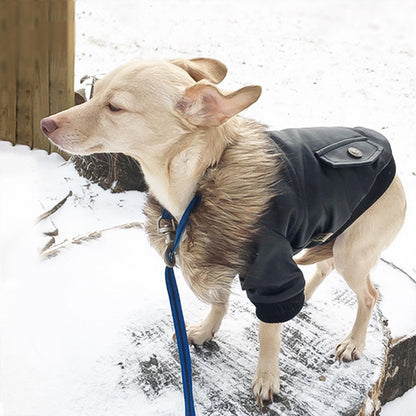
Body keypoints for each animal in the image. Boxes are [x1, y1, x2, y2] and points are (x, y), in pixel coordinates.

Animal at [39, 58, 406, 406]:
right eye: (95, 92)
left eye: (114, 107)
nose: (45, 123)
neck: (200, 178)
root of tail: (397, 177)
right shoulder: (216, 257)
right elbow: (219, 301)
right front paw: (206, 332)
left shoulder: (270, 273)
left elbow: (268, 332)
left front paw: (267, 378)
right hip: (330, 235)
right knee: (325, 267)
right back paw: (307, 298)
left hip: (351, 254)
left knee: (369, 295)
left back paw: (354, 342)